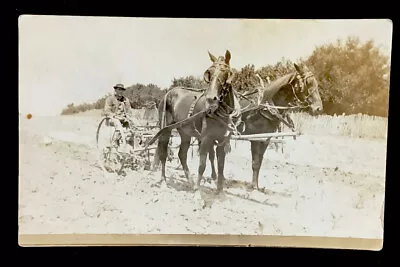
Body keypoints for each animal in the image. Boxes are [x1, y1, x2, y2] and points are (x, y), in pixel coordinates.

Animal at [152, 49, 242, 194]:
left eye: (225, 71)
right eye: (209, 73)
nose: (211, 98)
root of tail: (169, 92)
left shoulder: (222, 140)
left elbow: (221, 165)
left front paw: (219, 191)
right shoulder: (205, 138)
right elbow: (202, 165)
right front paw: (198, 193)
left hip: (185, 132)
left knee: (182, 154)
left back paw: (191, 182)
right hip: (165, 128)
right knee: (163, 153)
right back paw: (164, 181)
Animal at [208, 62, 324, 193]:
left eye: (316, 82)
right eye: (308, 83)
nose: (319, 108)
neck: (265, 106)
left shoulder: (265, 139)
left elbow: (259, 163)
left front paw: (257, 186)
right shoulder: (255, 138)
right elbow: (254, 162)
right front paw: (253, 186)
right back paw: (214, 176)